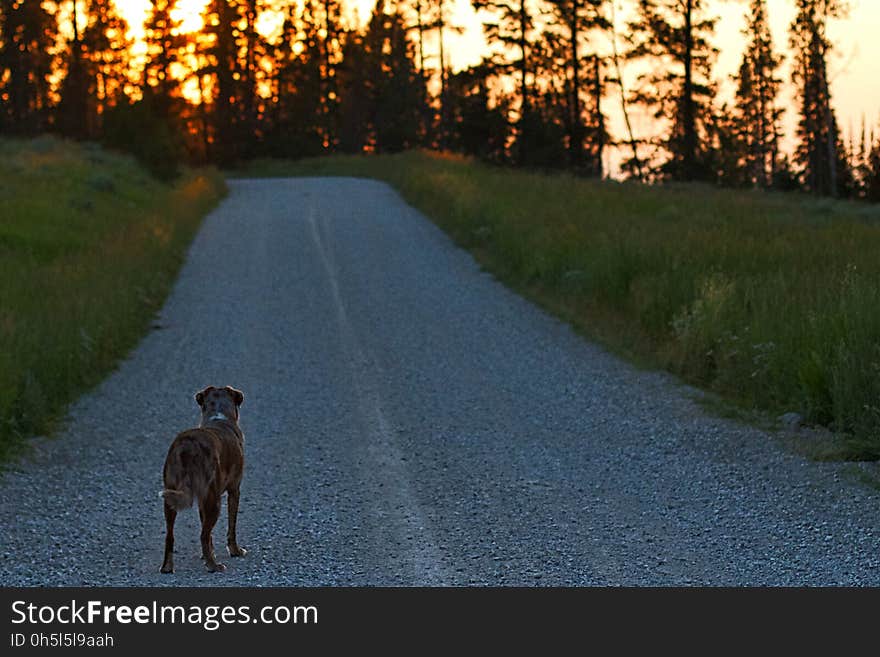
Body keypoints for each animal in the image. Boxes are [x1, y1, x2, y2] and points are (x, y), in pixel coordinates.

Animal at [159, 386, 246, 572]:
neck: (219, 416)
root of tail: (187, 446)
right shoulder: (234, 490)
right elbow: (231, 526)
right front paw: (235, 551)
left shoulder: (202, 499)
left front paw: (207, 555)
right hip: (214, 500)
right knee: (203, 535)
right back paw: (214, 566)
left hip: (171, 496)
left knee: (170, 535)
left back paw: (167, 567)